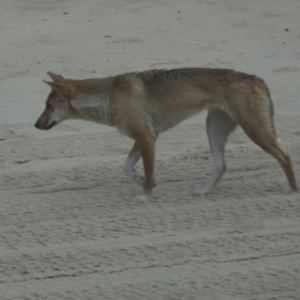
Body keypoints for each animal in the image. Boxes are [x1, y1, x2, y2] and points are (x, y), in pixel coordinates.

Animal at [35, 67, 298, 199]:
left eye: (48, 106)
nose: (36, 125)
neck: (108, 96)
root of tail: (257, 79)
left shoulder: (146, 138)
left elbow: (146, 171)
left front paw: (145, 194)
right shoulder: (143, 138)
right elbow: (127, 168)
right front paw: (142, 182)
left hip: (254, 131)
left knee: (285, 157)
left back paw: (293, 189)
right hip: (214, 128)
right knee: (220, 166)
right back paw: (204, 191)